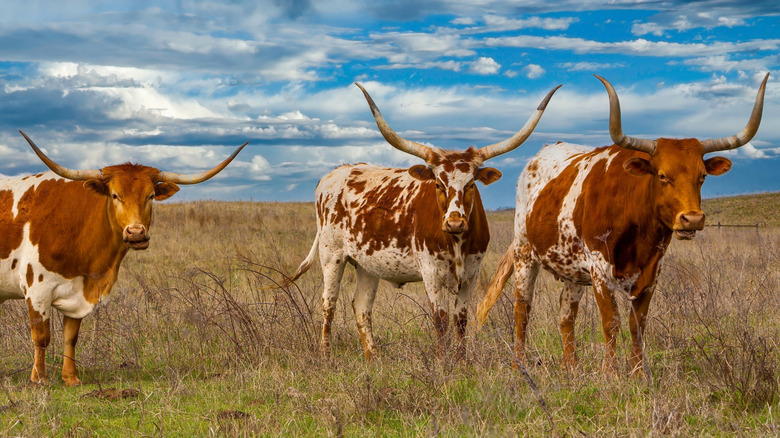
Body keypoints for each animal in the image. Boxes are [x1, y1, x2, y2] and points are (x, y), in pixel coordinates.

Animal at [0, 132, 247, 386]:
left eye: (150, 196)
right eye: (115, 195)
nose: (136, 232)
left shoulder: (78, 293)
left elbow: (71, 337)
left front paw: (71, 378)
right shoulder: (37, 290)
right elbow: (41, 337)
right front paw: (39, 379)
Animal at [290, 82, 560, 360]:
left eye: (471, 184)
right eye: (438, 184)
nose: (454, 223)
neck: (457, 243)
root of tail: (334, 174)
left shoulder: (471, 274)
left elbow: (460, 320)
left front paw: (461, 361)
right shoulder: (431, 273)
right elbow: (440, 320)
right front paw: (443, 362)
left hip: (366, 264)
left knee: (362, 306)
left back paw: (373, 357)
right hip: (331, 254)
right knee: (328, 303)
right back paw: (325, 353)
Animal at [476, 73, 769, 375]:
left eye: (702, 177)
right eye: (662, 175)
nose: (693, 218)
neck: (637, 231)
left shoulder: (651, 271)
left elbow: (637, 324)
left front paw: (638, 373)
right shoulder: (599, 270)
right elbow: (612, 322)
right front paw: (610, 373)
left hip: (572, 269)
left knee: (566, 315)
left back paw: (572, 368)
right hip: (525, 254)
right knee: (522, 309)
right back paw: (518, 364)